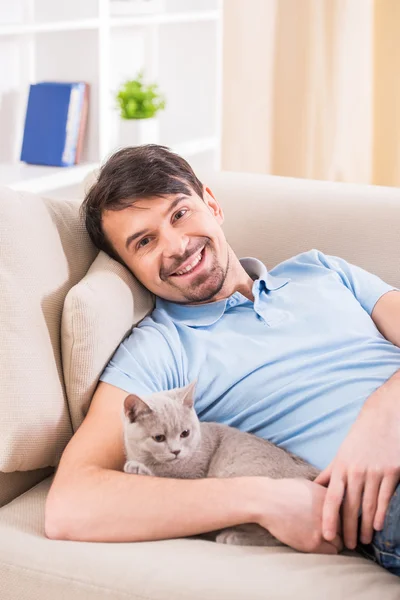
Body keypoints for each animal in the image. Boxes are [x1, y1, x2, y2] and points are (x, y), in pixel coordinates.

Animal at [122, 382, 318, 548]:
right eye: (159, 438)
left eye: (185, 433)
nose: (176, 451)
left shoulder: (191, 475)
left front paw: (138, 468)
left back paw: (233, 536)